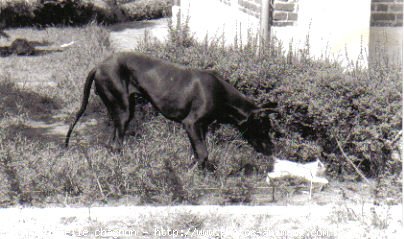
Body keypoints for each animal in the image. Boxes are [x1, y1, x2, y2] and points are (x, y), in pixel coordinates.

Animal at [64, 52, 276, 170]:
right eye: (264, 129)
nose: (273, 149)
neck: (221, 94)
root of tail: (98, 66)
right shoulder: (191, 124)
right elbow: (203, 153)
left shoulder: (201, 128)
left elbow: (198, 153)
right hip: (123, 110)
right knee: (117, 145)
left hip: (121, 111)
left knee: (111, 143)